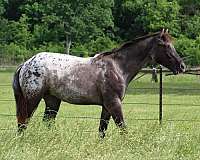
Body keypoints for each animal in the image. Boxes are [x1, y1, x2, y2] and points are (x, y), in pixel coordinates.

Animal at [12, 29, 185, 138]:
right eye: (165, 45)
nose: (182, 66)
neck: (118, 67)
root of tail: (26, 63)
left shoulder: (106, 106)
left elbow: (102, 130)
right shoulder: (114, 103)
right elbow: (122, 128)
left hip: (52, 100)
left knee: (45, 122)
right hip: (32, 100)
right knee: (23, 123)